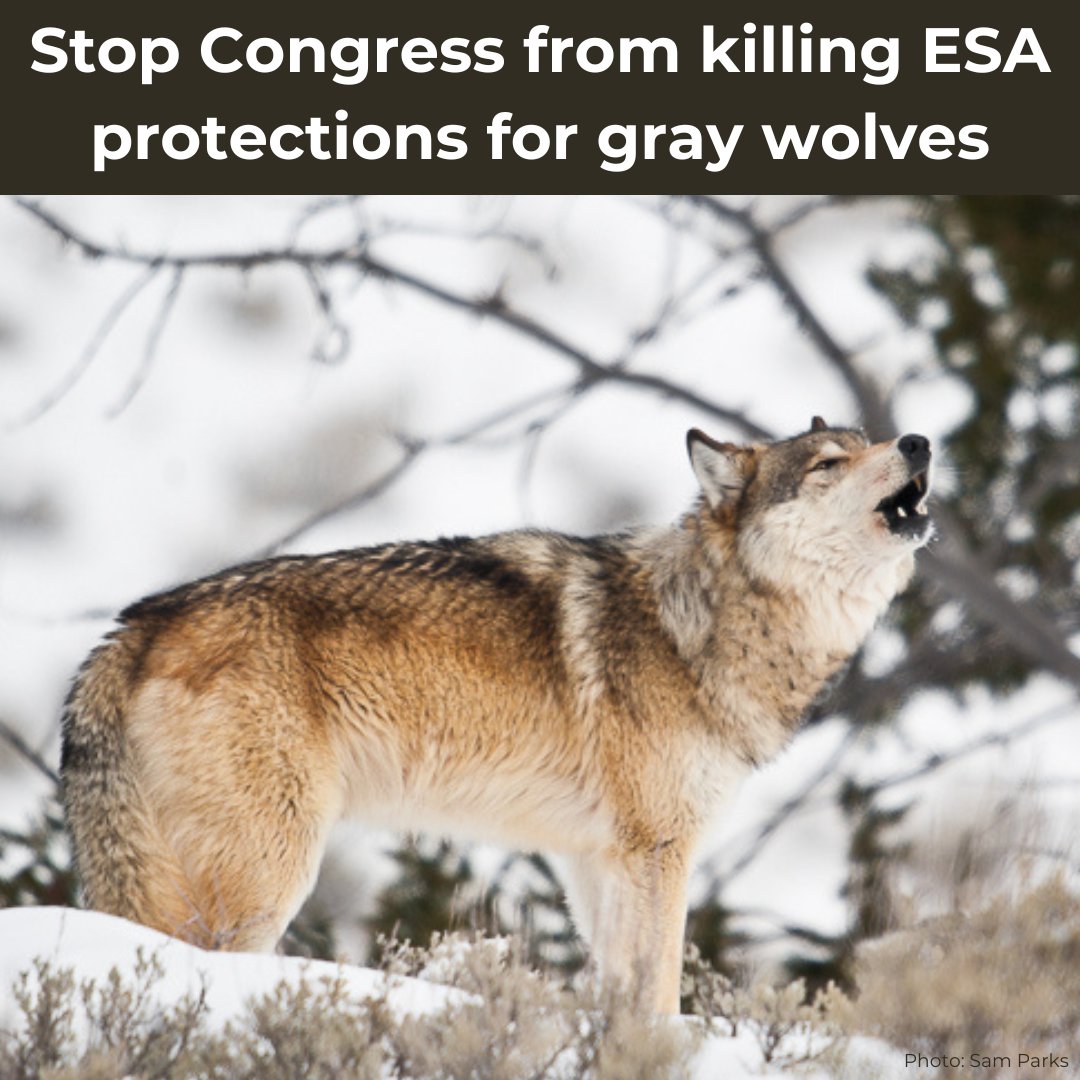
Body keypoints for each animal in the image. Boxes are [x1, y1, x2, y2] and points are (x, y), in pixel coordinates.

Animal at [61, 417, 932, 1013]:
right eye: (827, 464)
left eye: (871, 441)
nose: (920, 440)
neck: (700, 623)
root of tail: (134, 625)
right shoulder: (659, 851)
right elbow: (659, 994)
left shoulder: (598, 860)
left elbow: (620, 989)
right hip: (264, 878)